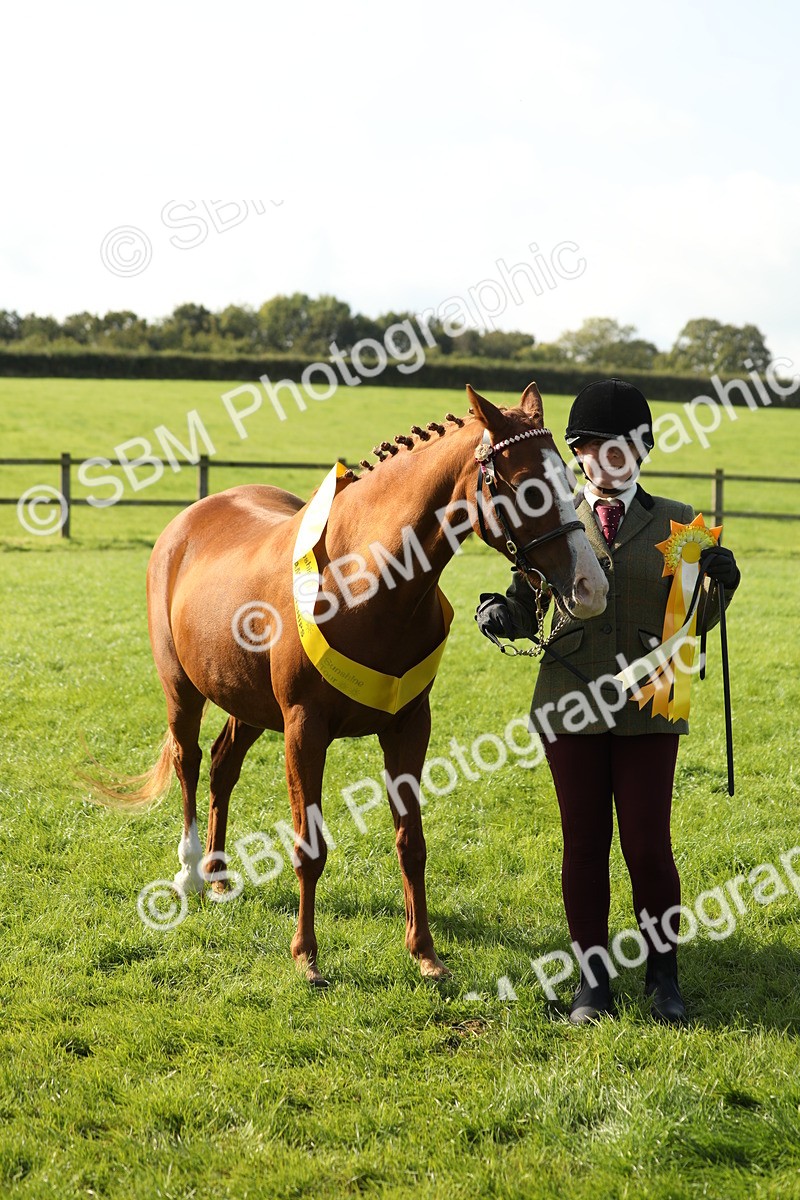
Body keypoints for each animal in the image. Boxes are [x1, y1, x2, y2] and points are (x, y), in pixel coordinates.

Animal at [107, 382, 608, 984]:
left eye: (568, 474)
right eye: (527, 485)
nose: (591, 585)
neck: (364, 578)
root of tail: (185, 523)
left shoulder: (409, 728)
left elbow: (411, 842)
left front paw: (425, 954)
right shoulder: (304, 731)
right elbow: (309, 848)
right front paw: (306, 956)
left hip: (249, 704)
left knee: (223, 766)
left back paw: (221, 875)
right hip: (182, 688)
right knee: (188, 760)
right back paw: (190, 875)